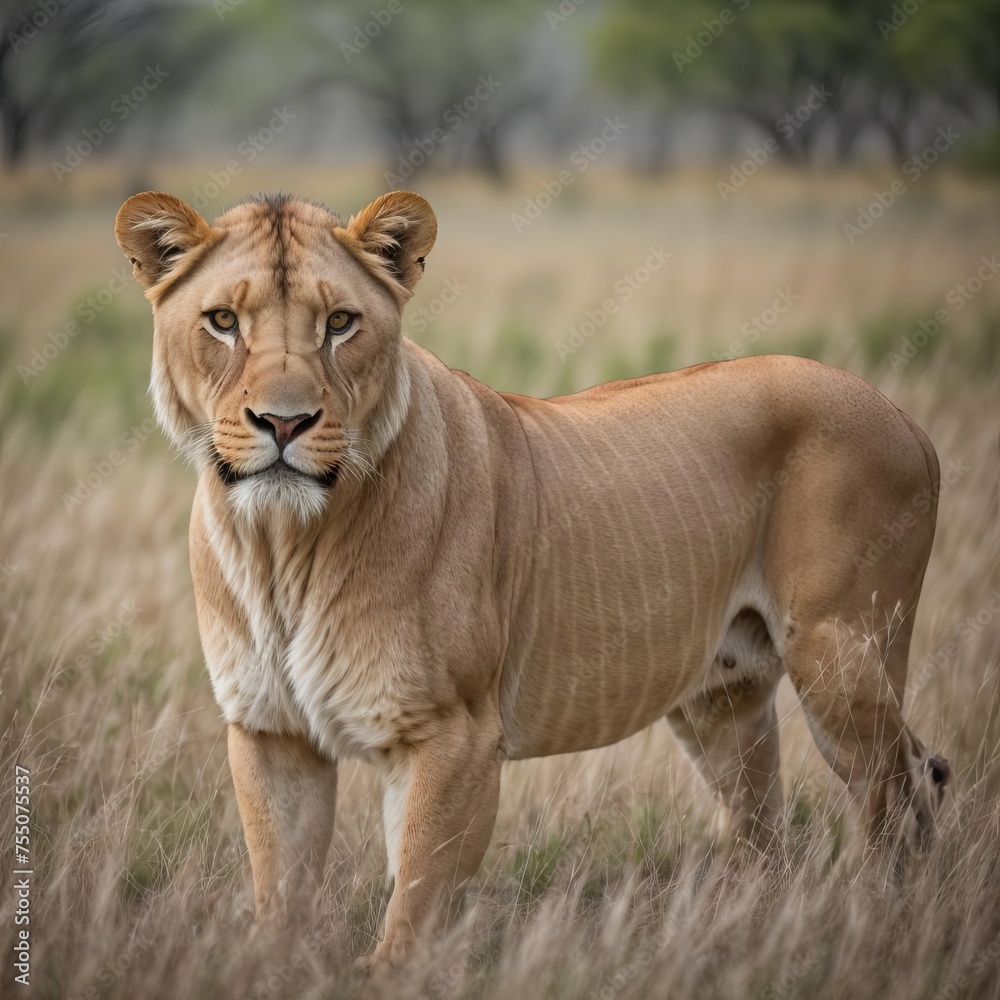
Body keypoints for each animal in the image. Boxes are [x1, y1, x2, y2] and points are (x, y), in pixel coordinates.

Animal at [115, 189, 949, 972]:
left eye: (341, 323)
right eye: (223, 321)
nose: (284, 423)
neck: (283, 544)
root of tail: (905, 417)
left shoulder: (453, 732)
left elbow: (416, 894)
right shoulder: (270, 730)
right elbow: (280, 884)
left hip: (841, 656)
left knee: (901, 791)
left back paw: (880, 927)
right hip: (723, 698)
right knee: (766, 828)